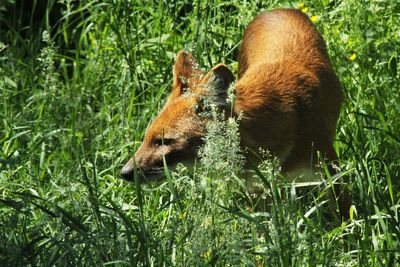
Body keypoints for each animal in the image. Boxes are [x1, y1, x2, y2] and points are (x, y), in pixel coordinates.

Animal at [121, 8, 350, 220]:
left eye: (164, 141)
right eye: (146, 138)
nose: (124, 173)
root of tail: (277, 9)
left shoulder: (332, 173)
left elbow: (344, 222)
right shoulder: (258, 190)